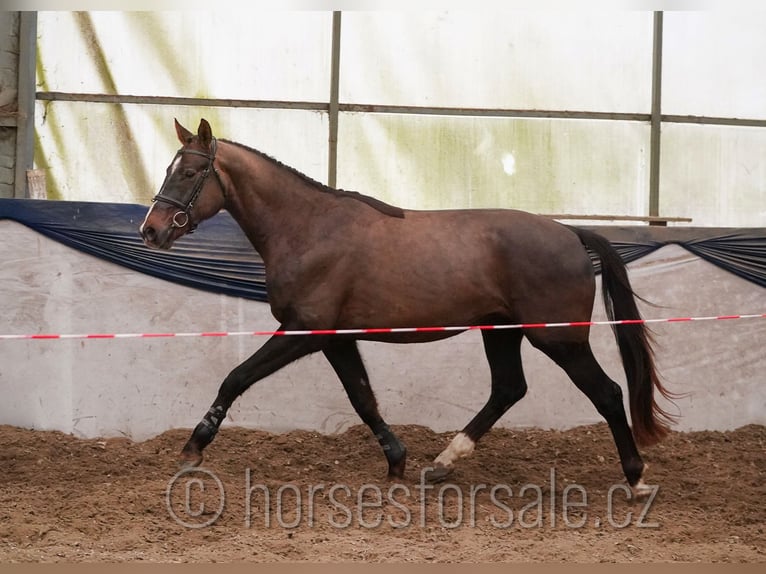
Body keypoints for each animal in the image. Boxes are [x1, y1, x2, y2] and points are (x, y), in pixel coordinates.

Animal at [140, 118, 677, 497]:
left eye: (190, 172)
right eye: (170, 170)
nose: (151, 230)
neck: (309, 228)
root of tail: (570, 233)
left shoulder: (303, 331)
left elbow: (236, 378)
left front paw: (192, 450)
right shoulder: (334, 339)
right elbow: (363, 398)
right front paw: (397, 461)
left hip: (558, 337)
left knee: (606, 393)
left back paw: (636, 478)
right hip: (501, 330)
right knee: (508, 388)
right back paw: (440, 464)